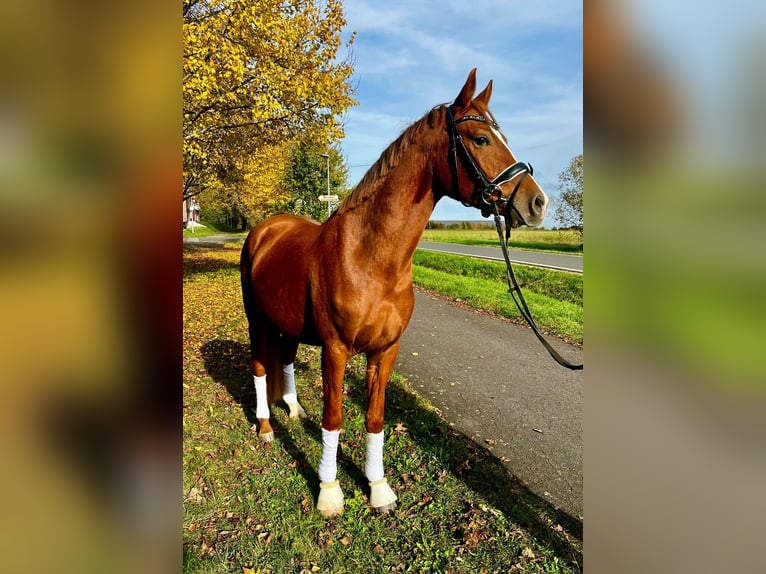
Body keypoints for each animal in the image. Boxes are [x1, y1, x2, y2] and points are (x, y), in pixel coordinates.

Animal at [243, 68, 548, 516]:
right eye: (481, 139)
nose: (537, 203)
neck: (370, 257)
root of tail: (266, 229)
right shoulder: (336, 350)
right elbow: (334, 418)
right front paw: (329, 492)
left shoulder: (386, 350)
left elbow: (374, 419)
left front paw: (378, 487)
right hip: (257, 320)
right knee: (261, 367)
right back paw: (266, 427)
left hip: (287, 325)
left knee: (284, 359)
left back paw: (294, 409)